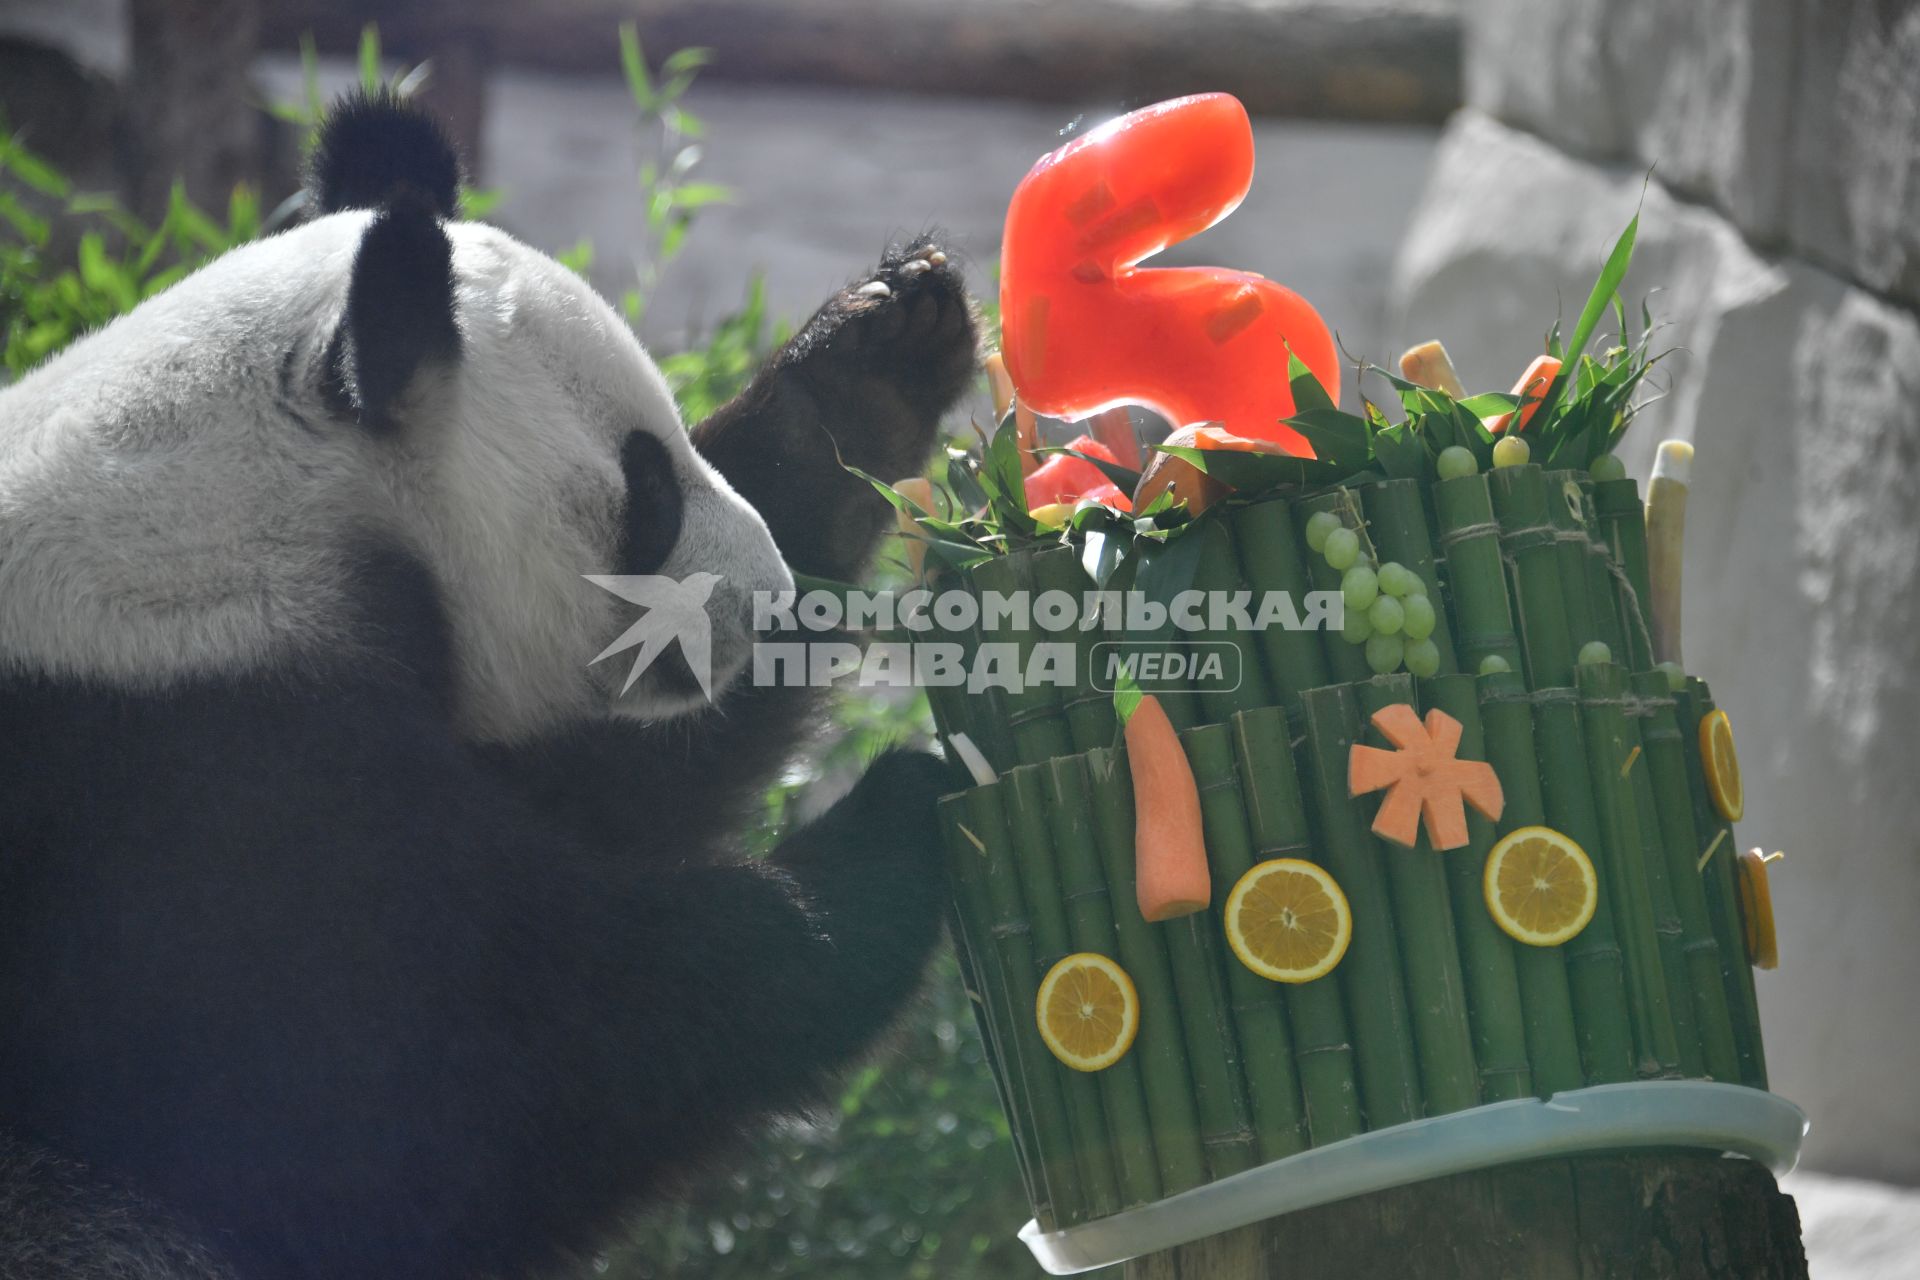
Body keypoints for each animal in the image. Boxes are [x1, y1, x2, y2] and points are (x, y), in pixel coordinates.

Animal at [0, 92, 983, 1280]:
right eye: (647, 498)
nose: (767, 597)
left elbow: (609, 787)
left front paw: (872, 363)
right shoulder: (179, 802)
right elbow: (487, 1086)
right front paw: (903, 814)